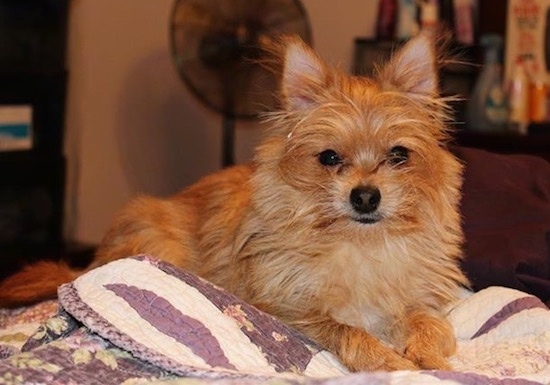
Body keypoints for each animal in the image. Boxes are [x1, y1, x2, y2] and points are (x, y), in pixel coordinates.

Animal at [0, 33, 470, 372]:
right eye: (329, 158)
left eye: (399, 155)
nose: (366, 196)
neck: (360, 244)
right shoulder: (287, 311)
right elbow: (343, 329)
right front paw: (384, 358)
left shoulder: (419, 301)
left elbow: (429, 325)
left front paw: (428, 357)